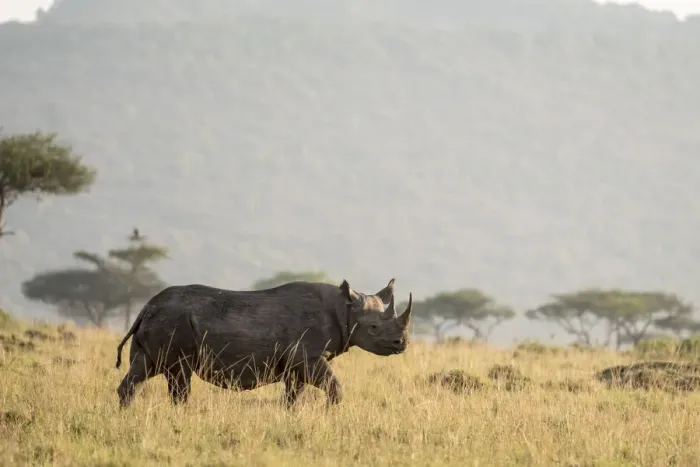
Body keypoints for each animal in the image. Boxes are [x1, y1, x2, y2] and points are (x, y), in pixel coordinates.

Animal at [115, 278, 412, 408]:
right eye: (373, 328)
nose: (401, 343)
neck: (344, 309)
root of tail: (146, 307)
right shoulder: (309, 356)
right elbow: (333, 386)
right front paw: (331, 412)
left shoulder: (298, 362)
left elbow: (294, 395)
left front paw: (292, 415)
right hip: (174, 323)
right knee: (179, 375)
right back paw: (181, 413)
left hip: (160, 322)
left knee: (143, 369)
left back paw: (127, 413)